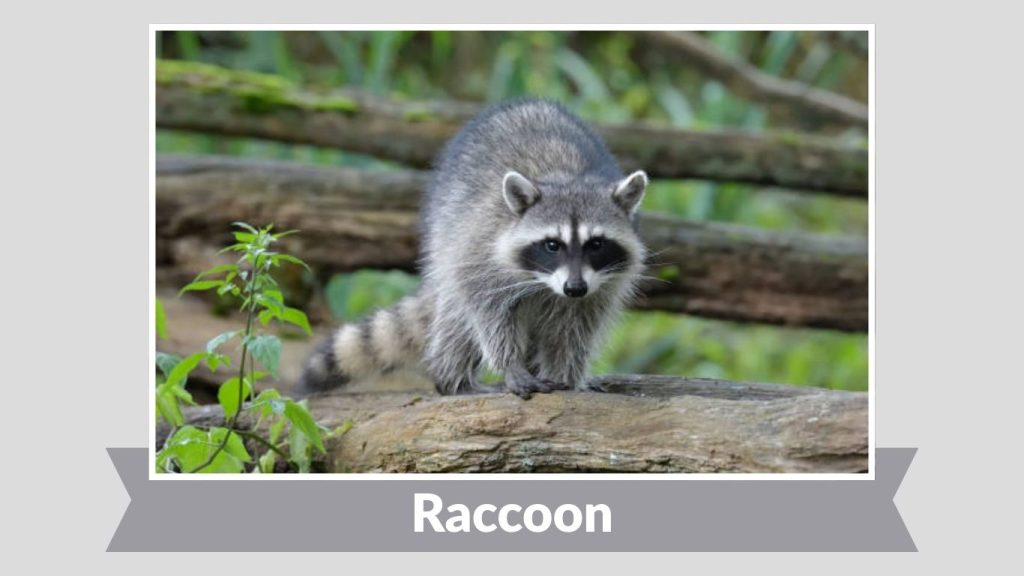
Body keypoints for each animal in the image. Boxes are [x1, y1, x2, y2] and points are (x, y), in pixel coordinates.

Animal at [300, 99, 648, 398]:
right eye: (552, 245)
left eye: (596, 244)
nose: (574, 288)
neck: (568, 179)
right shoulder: (481, 249)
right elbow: (487, 311)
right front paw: (510, 364)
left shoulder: (601, 285)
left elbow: (575, 330)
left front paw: (566, 375)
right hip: (445, 233)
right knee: (456, 319)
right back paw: (453, 378)